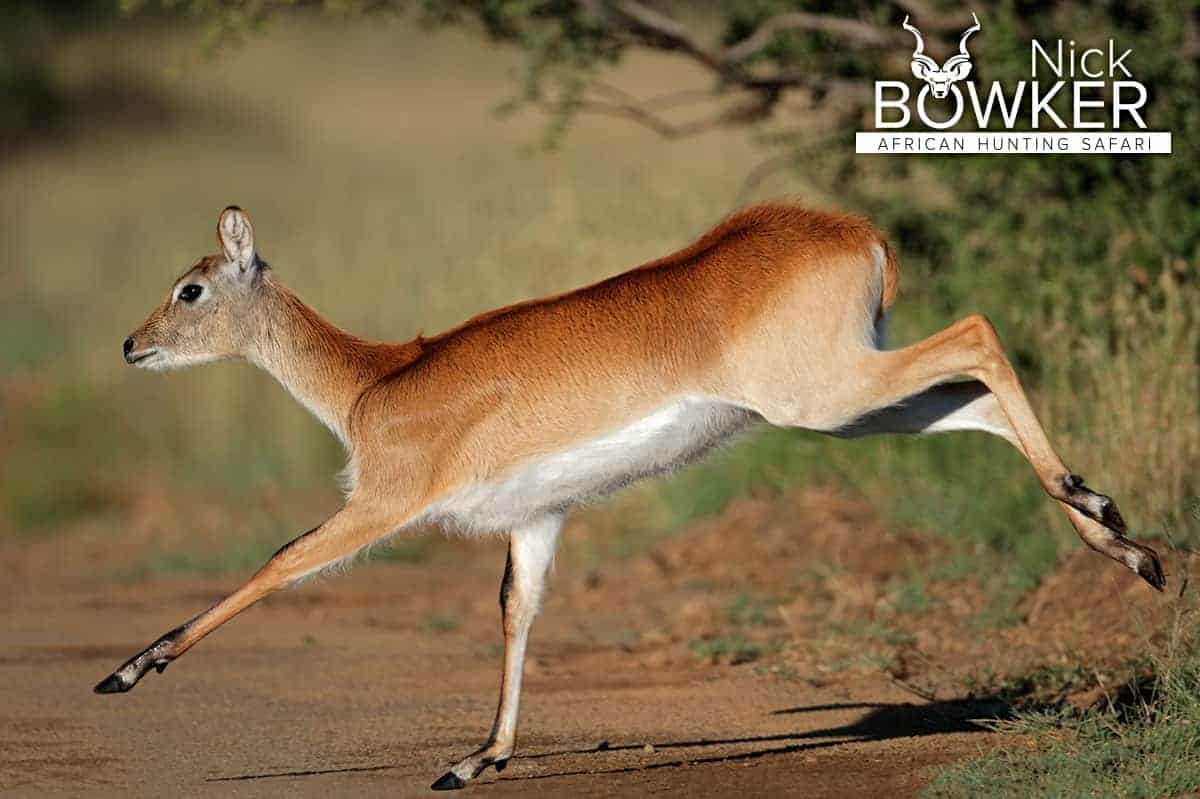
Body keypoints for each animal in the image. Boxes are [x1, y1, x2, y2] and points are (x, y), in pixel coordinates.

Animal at [100, 202, 1161, 787]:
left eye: (191, 288)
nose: (130, 344)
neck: (374, 382)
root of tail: (854, 230)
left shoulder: (382, 503)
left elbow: (279, 562)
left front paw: (129, 670)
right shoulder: (534, 520)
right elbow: (516, 611)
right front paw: (476, 759)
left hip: (826, 392)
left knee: (978, 334)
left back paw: (1120, 534)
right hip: (850, 405)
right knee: (974, 397)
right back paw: (1122, 535)